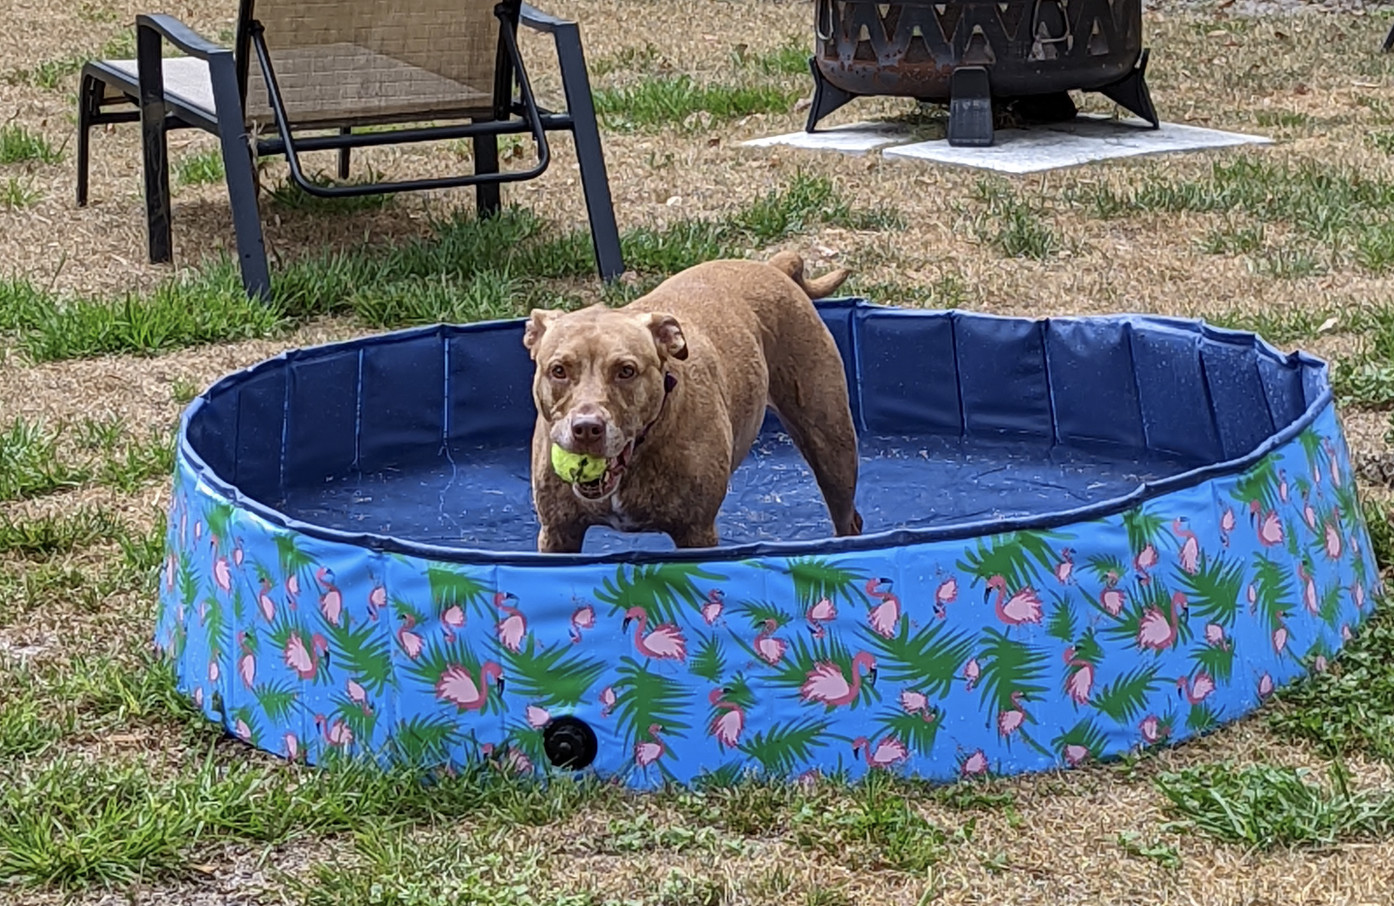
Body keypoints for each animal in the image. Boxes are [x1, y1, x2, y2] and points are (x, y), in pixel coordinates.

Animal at [524, 250, 858, 554]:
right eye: (558, 370)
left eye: (626, 370)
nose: (586, 428)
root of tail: (772, 266)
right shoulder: (558, 532)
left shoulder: (696, 531)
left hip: (831, 446)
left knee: (847, 515)